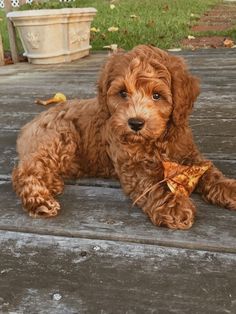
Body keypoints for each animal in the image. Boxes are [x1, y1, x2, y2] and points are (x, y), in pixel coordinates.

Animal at [12, 45, 236, 229]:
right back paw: (39, 200)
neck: (154, 141)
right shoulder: (132, 166)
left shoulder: (188, 153)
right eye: (122, 93)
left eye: (157, 96)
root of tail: (31, 123)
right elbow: (151, 185)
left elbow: (209, 171)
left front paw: (228, 188)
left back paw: (53, 184)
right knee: (25, 171)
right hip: (59, 137)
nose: (135, 123)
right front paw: (173, 207)